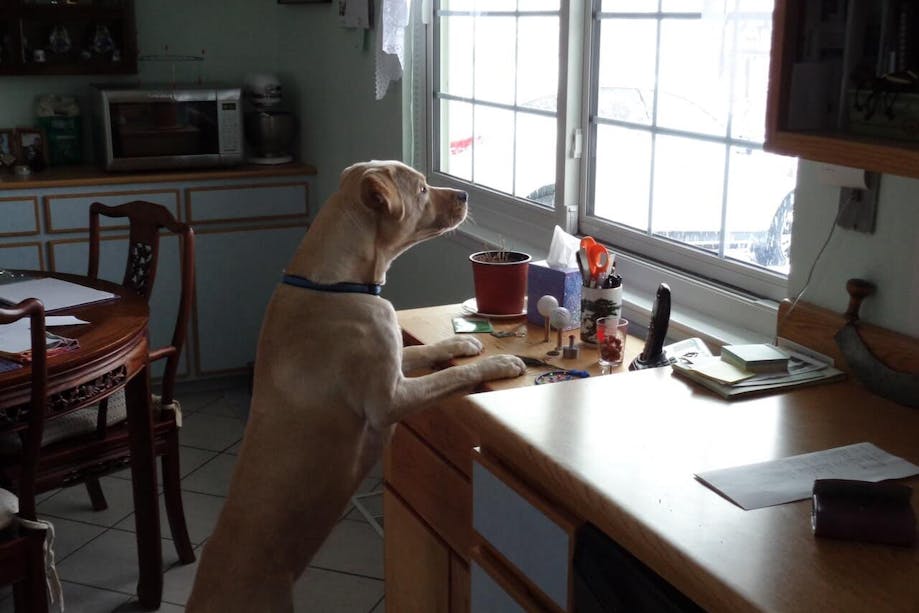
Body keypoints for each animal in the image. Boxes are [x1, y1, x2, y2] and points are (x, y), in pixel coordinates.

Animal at [187, 160, 528, 608]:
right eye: (422, 189)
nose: (465, 195)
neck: (335, 282)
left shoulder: (396, 361)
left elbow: (431, 352)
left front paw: (463, 342)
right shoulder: (390, 399)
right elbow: (453, 374)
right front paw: (500, 362)